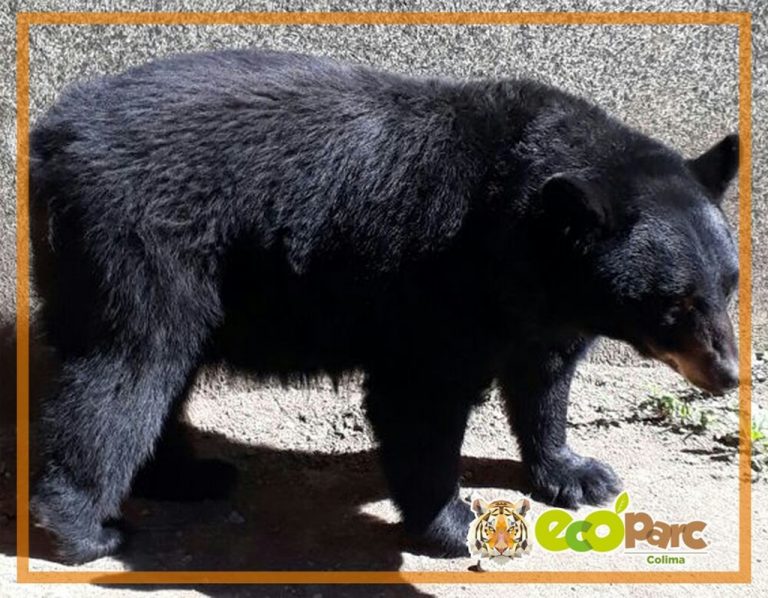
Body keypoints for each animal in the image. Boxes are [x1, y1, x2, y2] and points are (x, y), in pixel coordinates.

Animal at [28, 49, 740, 564]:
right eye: (675, 302)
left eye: (730, 285)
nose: (729, 374)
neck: (528, 241)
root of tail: (50, 137)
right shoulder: (441, 277)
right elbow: (419, 398)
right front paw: (454, 522)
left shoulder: (543, 312)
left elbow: (544, 383)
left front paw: (579, 474)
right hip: (139, 247)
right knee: (126, 372)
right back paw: (87, 530)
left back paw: (186, 477)